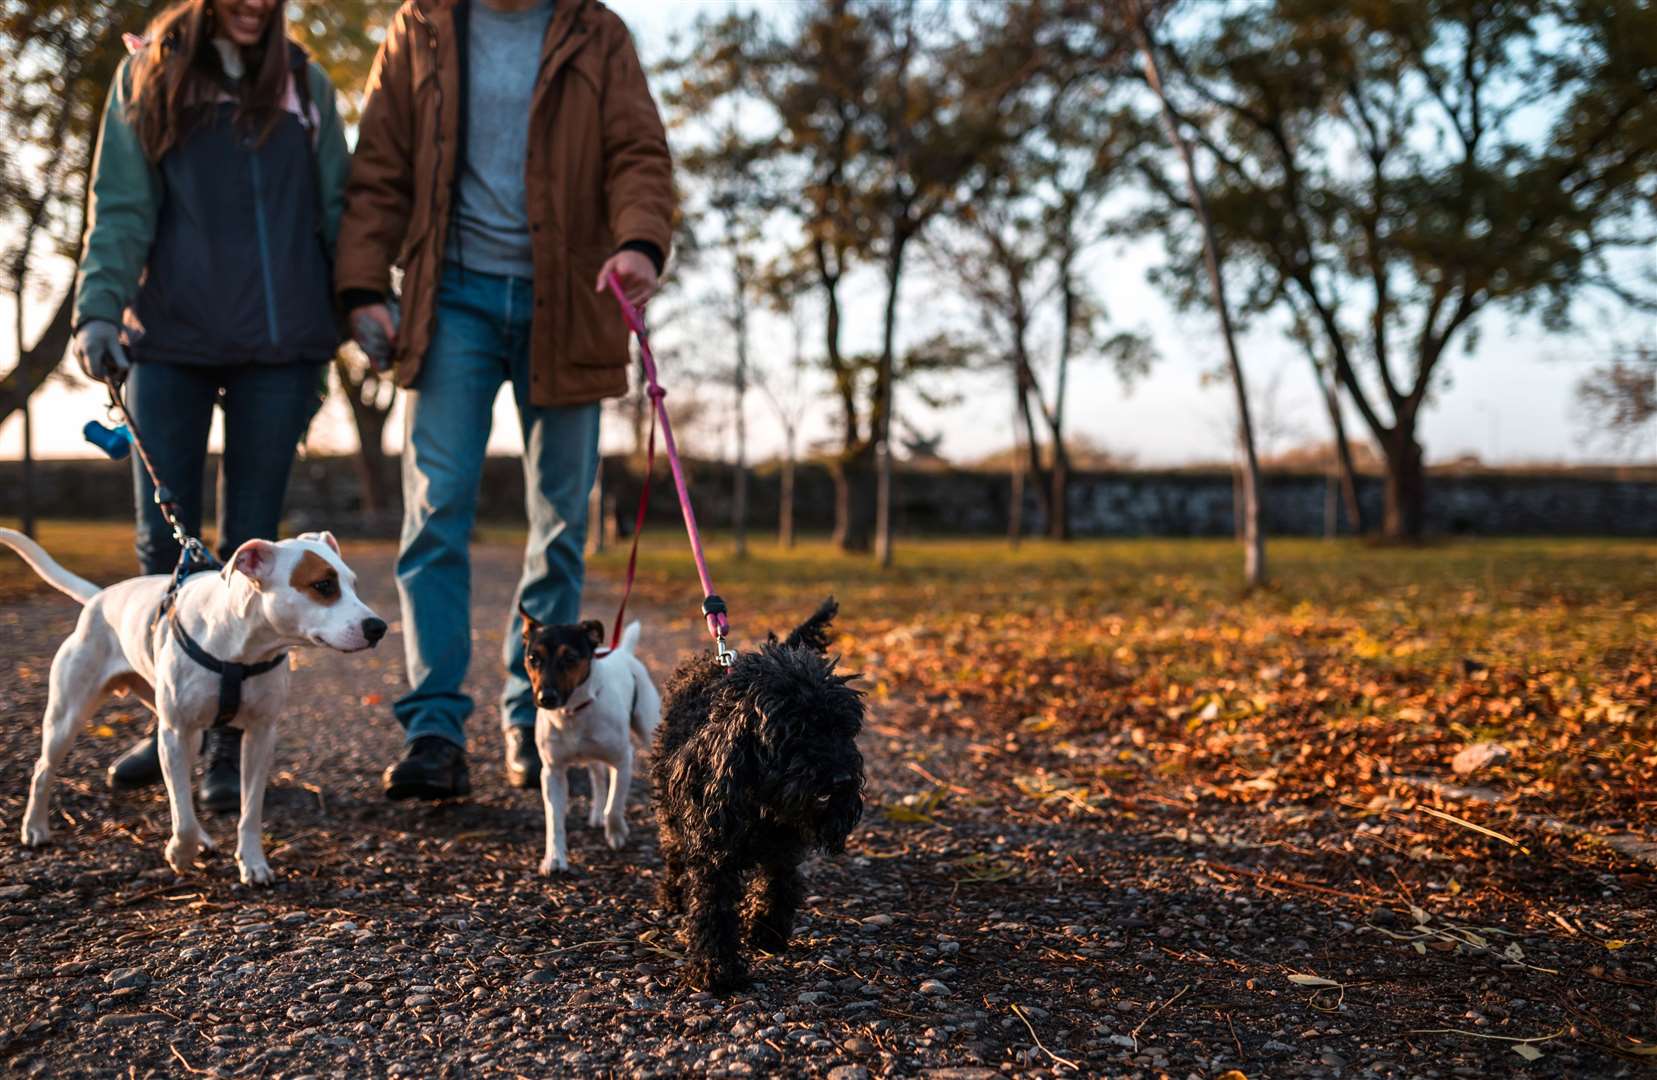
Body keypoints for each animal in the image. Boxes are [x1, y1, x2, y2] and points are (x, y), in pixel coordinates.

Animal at [1, 526, 381, 887]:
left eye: (353, 585)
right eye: (323, 585)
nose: (378, 627)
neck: (241, 646)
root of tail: (99, 598)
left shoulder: (260, 735)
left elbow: (249, 810)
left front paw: (252, 862)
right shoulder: (174, 732)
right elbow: (180, 811)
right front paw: (180, 853)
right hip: (68, 716)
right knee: (43, 769)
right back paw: (35, 828)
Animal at [523, 612, 666, 874]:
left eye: (570, 658)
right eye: (533, 658)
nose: (545, 698)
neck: (572, 712)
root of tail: (623, 652)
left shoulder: (624, 760)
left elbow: (615, 805)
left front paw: (617, 833)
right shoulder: (552, 772)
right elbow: (554, 820)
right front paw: (554, 858)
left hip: (648, 729)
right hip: (591, 756)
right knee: (598, 778)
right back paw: (596, 813)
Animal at [649, 599, 868, 993]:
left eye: (843, 729)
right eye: (795, 732)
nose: (842, 779)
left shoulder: (785, 843)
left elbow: (778, 880)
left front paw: (767, 931)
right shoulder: (712, 849)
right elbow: (713, 905)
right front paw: (715, 968)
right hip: (669, 811)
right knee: (673, 852)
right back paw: (672, 895)